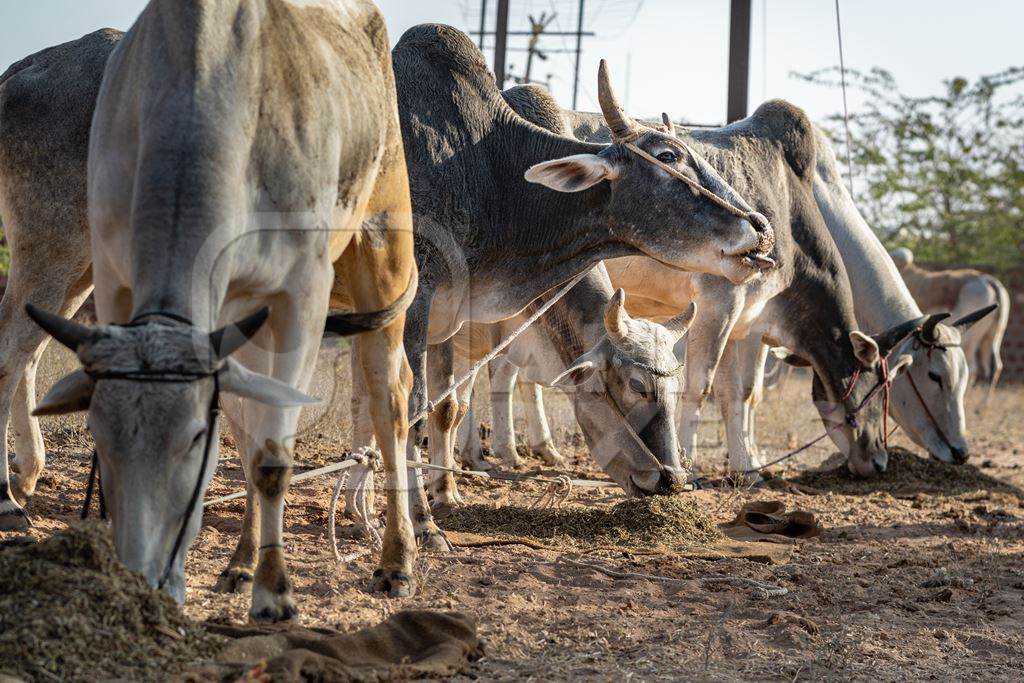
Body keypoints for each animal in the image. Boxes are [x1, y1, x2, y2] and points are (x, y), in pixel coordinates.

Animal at [18, 0, 415, 626]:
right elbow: (248, 438)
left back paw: (397, 560)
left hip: (384, 256)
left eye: (193, 440)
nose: (144, 576)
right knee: (254, 418)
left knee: (390, 397)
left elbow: (273, 456)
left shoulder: (302, 296)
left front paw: (276, 594)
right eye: (100, 437)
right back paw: (240, 562)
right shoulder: (117, 281)